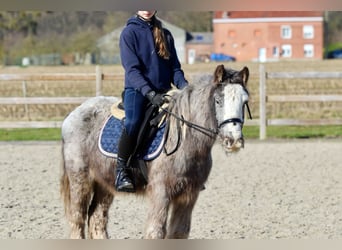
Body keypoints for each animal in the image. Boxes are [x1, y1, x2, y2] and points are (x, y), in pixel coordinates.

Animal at [60, 64, 250, 238]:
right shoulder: (161, 191)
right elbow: (156, 232)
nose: (234, 140)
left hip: (104, 183)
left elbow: (179, 233)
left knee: (97, 218)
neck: (186, 140)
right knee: (78, 218)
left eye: (244, 102)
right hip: (80, 180)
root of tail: (75, 112)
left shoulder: (189, 195)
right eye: (218, 100)